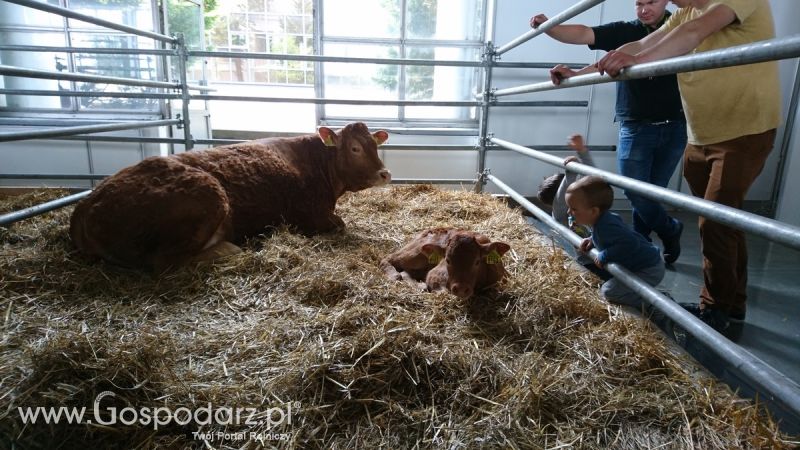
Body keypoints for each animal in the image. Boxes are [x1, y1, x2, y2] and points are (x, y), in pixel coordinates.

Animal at [70, 121, 390, 272]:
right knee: (165, 261)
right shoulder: (313, 216)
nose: (385, 174)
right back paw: (232, 248)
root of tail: (86, 205)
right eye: (355, 148)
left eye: (375, 144)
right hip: (209, 195)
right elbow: (339, 224)